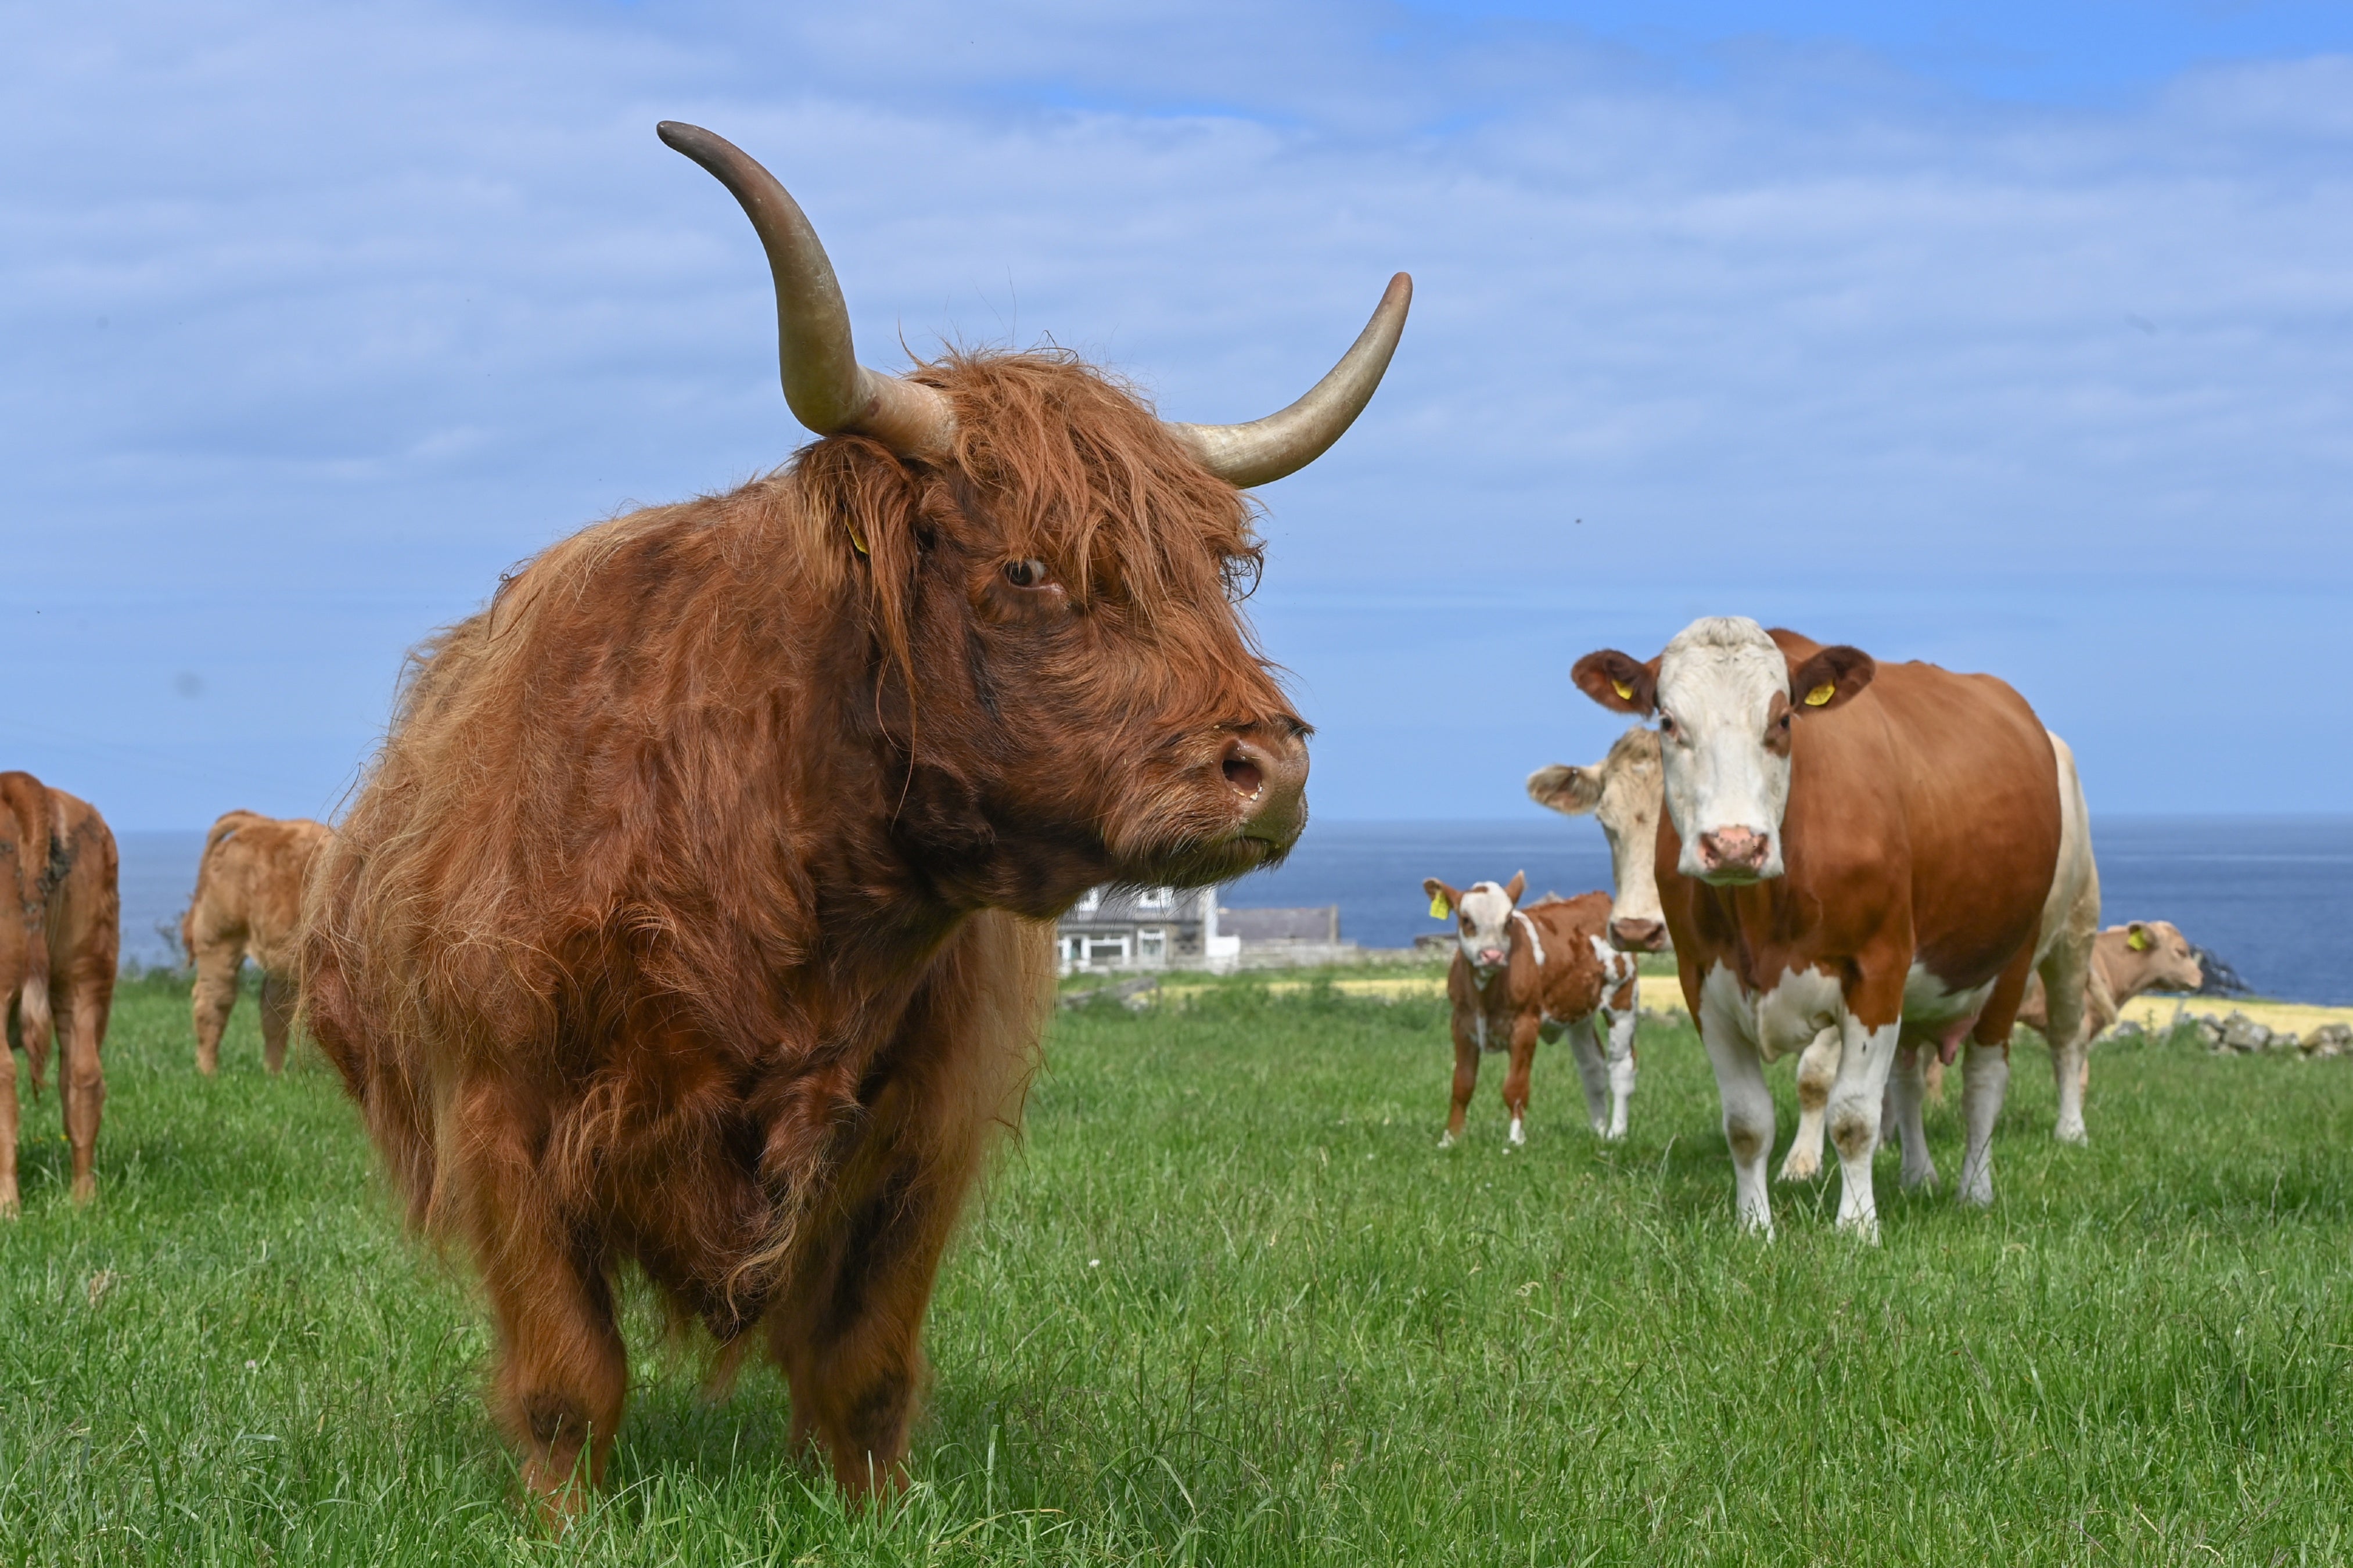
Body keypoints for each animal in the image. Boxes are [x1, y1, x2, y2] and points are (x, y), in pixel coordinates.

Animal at [183, 810, 333, 1074]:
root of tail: (258, 822)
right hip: (220, 938)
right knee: (214, 1000)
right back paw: (209, 1073)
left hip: (282, 952)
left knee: (273, 1008)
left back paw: (274, 1075)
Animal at [299, 121, 1408, 1519]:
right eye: (1029, 567)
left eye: (1218, 570)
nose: (1270, 768)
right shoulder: (501, 1111)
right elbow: (566, 1373)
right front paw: (562, 1523)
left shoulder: (919, 1134)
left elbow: (864, 1361)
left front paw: (874, 1510)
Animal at [1422, 874, 1639, 1147]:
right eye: (1466, 920)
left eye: (1508, 921)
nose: (1492, 955)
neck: (1485, 997)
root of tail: (1596, 897)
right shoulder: (1461, 1024)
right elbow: (1462, 1085)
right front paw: (1450, 1139)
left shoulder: (1525, 1025)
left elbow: (1515, 1087)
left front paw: (1515, 1140)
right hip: (1579, 1014)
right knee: (1593, 1068)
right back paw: (1597, 1132)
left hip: (1623, 1000)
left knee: (1622, 1067)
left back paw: (1616, 1134)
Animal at [1572, 617, 2059, 1239]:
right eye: (1668, 721)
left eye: (1783, 719)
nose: (1735, 845)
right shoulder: (1701, 981)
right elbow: (1746, 1122)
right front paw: (1754, 1226)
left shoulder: (1876, 971)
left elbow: (1853, 1116)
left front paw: (1856, 1228)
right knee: (1906, 1081)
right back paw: (1915, 1177)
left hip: (2010, 961)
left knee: (1983, 1085)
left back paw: (1973, 1191)